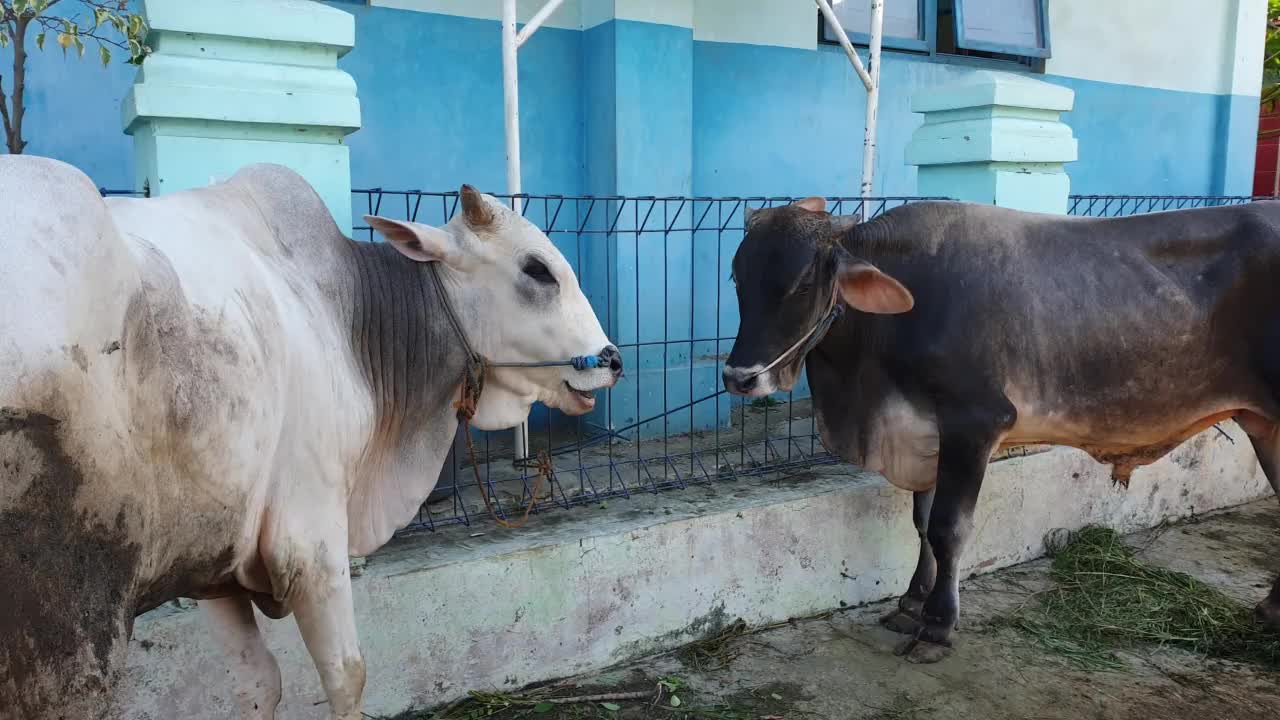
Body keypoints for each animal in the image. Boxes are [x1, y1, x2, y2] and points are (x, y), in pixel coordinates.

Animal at [0, 154, 619, 712]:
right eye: (537, 270)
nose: (611, 359)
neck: (348, 319)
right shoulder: (309, 542)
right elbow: (348, 675)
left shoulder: (212, 565)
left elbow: (259, 683)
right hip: (71, 629)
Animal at [727, 196, 1280, 661]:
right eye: (737, 278)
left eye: (802, 283)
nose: (739, 377)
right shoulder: (926, 435)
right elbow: (921, 523)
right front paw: (911, 604)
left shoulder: (975, 422)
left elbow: (949, 528)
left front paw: (937, 626)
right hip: (1265, 425)